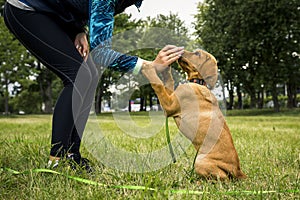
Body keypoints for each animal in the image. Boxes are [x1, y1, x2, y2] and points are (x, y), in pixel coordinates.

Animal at [142, 49, 246, 180]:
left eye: (197, 54)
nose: (180, 51)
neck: (198, 82)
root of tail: (238, 170)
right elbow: (169, 81)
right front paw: (166, 68)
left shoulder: (169, 106)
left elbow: (158, 84)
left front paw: (147, 68)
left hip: (200, 161)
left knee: (222, 178)